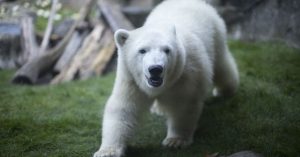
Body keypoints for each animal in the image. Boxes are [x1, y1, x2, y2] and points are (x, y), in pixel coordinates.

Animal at [94, 0, 239, 156]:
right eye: (142, 50)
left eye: (167, 50)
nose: (155, 69)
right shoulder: (131, 78)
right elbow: (124, 108)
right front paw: (107, 151)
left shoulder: (187, 73)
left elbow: (183, 104)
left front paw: (175, 141)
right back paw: (159, 109)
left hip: (216, 34)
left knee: (221, 65)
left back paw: (225, 90)